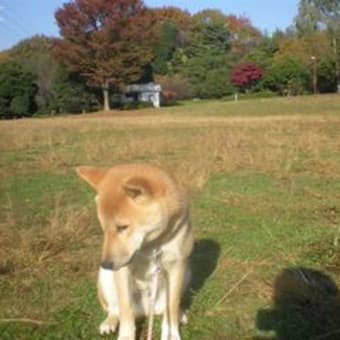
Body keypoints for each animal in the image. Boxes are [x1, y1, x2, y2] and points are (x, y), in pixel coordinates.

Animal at [77, 163, 194, 338]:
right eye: (103, 228)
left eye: (122, 227)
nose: (106, 264)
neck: (150, 246)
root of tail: (145, 310)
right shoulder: (122, 269)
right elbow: (125, 309)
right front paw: (126, 336)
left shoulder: (177, 265)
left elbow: (172, 306)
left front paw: (171, 334)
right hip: (105, 279)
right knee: (115, 309)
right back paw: (109, 322)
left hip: (186, 273)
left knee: (170, 306)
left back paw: (180, 314)